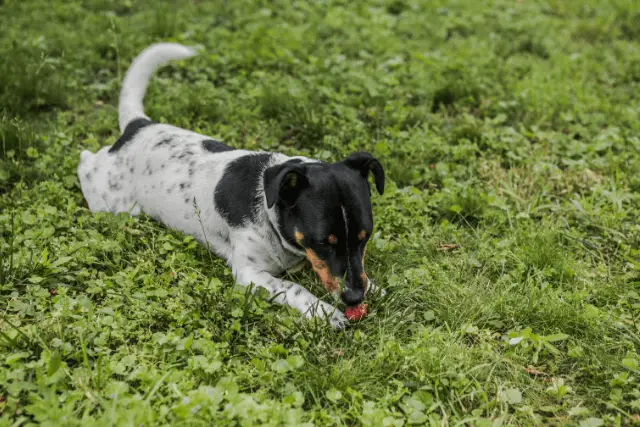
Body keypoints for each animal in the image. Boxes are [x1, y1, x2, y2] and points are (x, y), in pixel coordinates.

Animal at [75, 43, 384, 328]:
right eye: (322, 242)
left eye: (365, 237)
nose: (354, 298)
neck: (270, 213)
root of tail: (138, 127)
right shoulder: (249, 273)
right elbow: (294, 287)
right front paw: (325, 312)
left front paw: (374, 288)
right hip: (112, 200)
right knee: (85, 161)